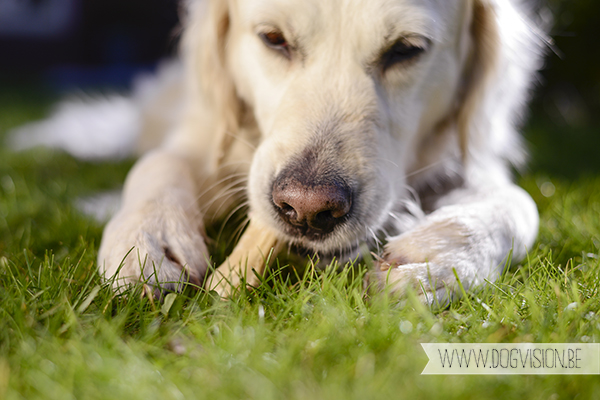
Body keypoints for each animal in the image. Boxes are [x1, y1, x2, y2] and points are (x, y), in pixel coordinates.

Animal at [11, 0, 548, 302]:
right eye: (273, 39)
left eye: (407, 49)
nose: (307, 210)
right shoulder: (208, 136)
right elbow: (158, 161)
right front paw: (146, 241)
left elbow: (521, 203)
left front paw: (443, 257)